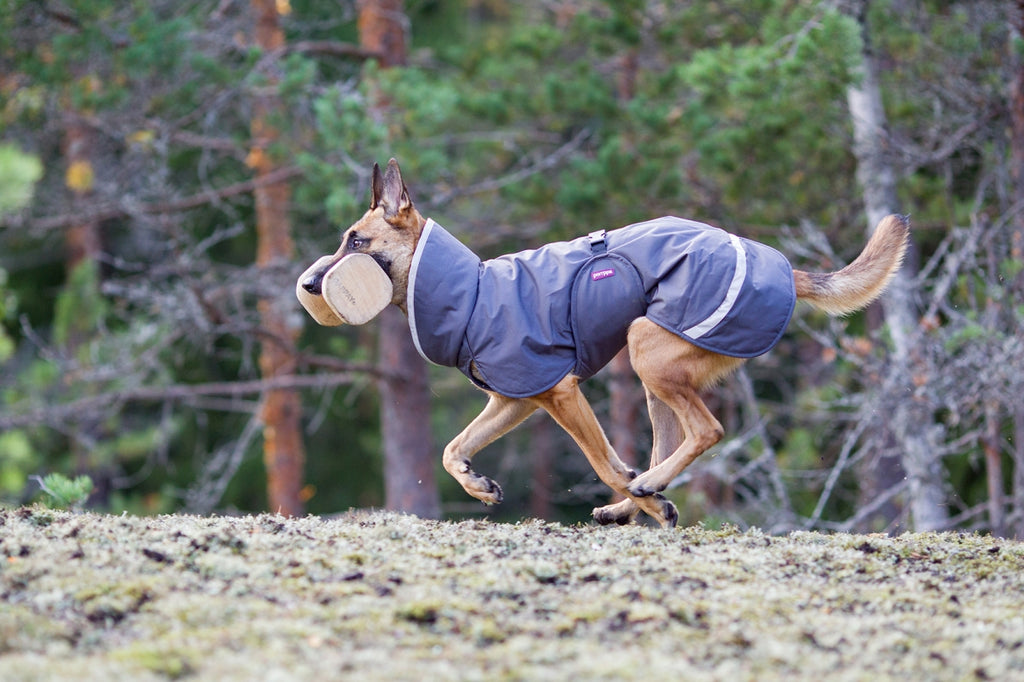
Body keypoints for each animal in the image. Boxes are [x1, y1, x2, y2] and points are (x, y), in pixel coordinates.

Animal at [299, 157, 909, 524]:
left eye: (356, 241)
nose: (308, 285)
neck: (469, 291)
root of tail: (779, 267)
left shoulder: (560, 393)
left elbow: (602, 462)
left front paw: (636, 490)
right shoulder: (516, 400)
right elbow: (454, 449)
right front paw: (478, 486)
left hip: (645, 349)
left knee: (707, 431)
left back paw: (645, 493)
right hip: (654, 383)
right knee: (676, 442)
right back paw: (634, 505)